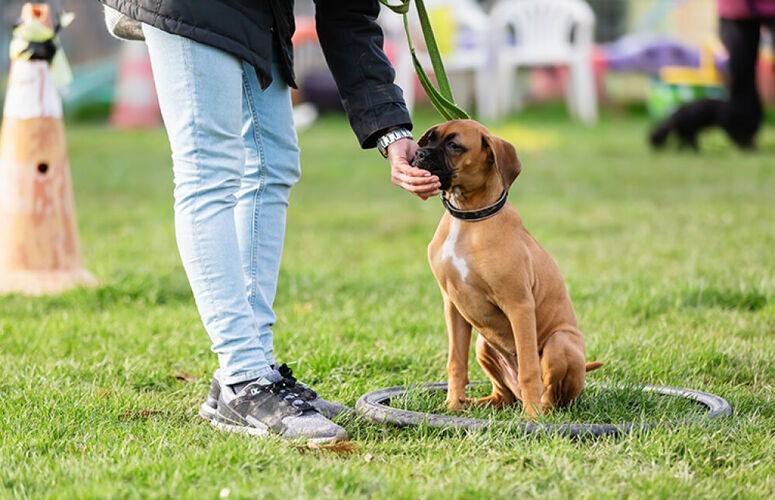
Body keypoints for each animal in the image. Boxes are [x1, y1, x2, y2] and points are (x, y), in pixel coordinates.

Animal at [412, 120, 600, 418]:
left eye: (454, 145)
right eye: (428, 139)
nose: (419, 154)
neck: (468, 218)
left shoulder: (519, 305)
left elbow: (528, 367)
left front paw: (532, 420)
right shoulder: (452, 304)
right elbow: (456, 363)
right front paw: (452, 406)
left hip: (560, 342)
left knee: (552, 396)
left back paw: (539, 412)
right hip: (483, 344)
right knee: (504, 396)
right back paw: (476, 404)